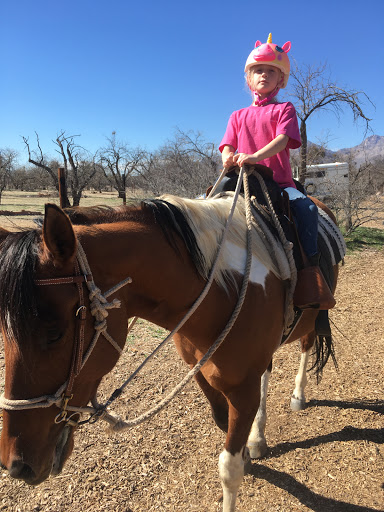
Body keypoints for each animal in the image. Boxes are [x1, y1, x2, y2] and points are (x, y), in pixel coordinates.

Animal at [0, 185, 342, 512]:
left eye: (54, 334)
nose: (15, 465)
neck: (220, 291)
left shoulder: (243, 390)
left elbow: (229, 469)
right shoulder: (201, 372)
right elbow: (222, 421)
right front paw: (248, 449)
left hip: (313, 319)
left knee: (307, 346)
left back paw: (298, 395)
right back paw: (258, 436)